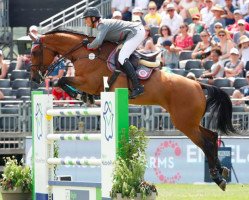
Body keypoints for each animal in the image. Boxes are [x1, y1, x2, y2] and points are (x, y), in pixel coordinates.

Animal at [30, 28, 235, 191]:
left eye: (34, 52)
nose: (34, 78)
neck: (85, 53)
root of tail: (198, 84)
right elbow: (63, 81)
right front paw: (85, 97)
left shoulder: (89, 81)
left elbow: (62, 80)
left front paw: (81, 96)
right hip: (189, 121)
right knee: (212, 137)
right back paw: (222, 171)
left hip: (184, 123)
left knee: (206, 143)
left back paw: (218, 178)